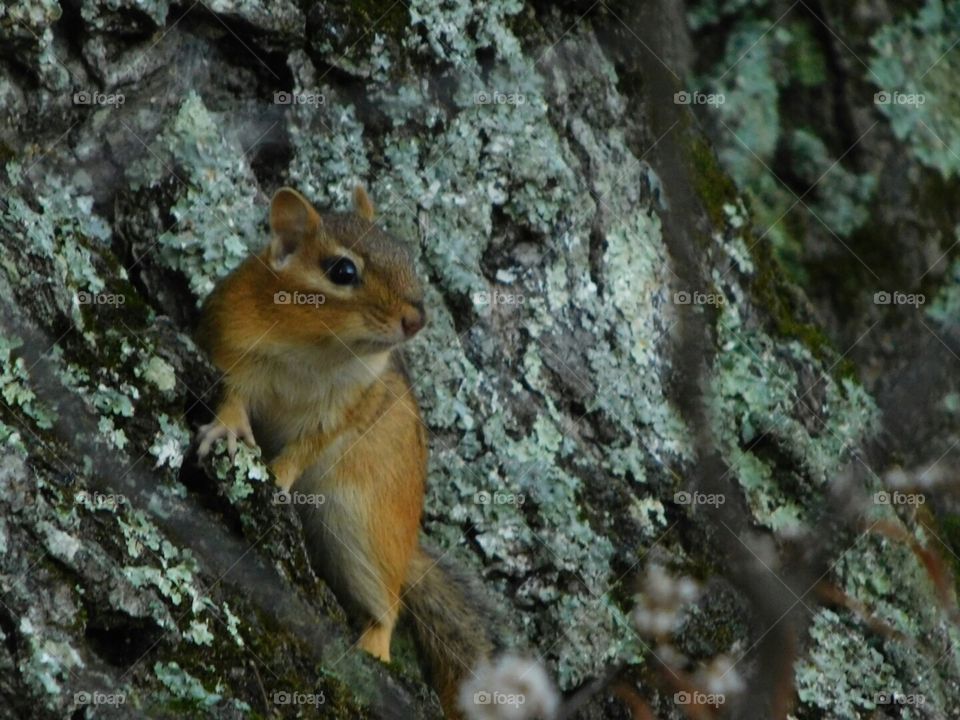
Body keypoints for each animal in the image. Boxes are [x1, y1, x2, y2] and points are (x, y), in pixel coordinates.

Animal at [195, 186, 494, 716]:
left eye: (406, 256)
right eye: (343, 272)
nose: (417, 319)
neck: (316, 350)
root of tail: (406, 550)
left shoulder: (352, 404)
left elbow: (311, 444)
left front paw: (280, 475)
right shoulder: (234, 346)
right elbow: (233, 394)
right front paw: (229, 428)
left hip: (364, 530)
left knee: (388, 609)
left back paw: (372, 648)